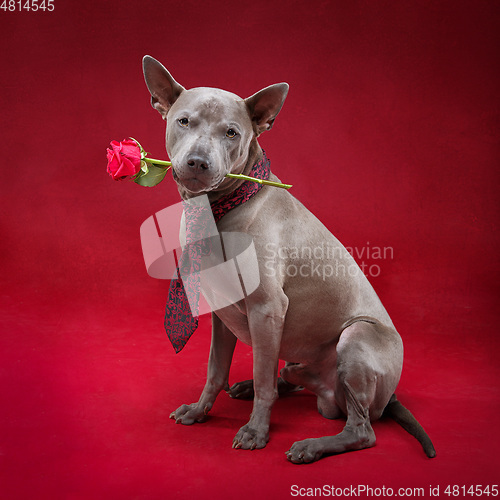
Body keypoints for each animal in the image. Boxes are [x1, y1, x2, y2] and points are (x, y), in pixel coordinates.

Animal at [141, 53, 434, 460]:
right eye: (183, 121)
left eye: (231, 133)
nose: (198, 161)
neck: (222, 206)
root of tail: (388, 397)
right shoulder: (223, 312)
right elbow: (216, 370)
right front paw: (200, 411)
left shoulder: (267, 308)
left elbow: (264, 380)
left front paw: (255, 431)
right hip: (298, 359)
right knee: (287, 377)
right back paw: (250, 388)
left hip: (356, 335)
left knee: (360, 430)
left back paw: (311, 446)